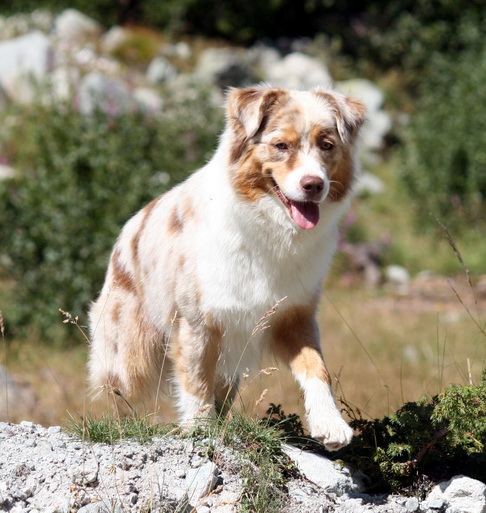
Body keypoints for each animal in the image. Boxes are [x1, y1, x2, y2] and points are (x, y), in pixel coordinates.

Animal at [89, 84, 366, 448]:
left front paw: (329, 423)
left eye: (327, 145)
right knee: (118, 395)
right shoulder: (196, 322)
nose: (314, 185)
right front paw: (199, 431)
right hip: (130, 354)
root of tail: (126, 230)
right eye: (281, 145)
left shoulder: (295, 315)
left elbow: (316, 367)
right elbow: (195, 383)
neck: (269, 228)